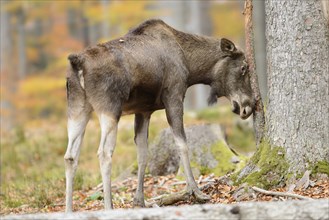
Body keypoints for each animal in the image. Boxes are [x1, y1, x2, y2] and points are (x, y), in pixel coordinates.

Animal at [64, 18, 254, 211]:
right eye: (243, 68)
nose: (249, 106)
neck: (191, 66)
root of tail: (77, 62)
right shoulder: (174, 96)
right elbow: (182, 144)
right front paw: (195, 191)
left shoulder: (143, 111)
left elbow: (142, 154)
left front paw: (139, 200)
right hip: (109, 107)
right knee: (104, 153)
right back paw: (108, 208)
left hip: (77, 108)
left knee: (70, 155)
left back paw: (69, 210)